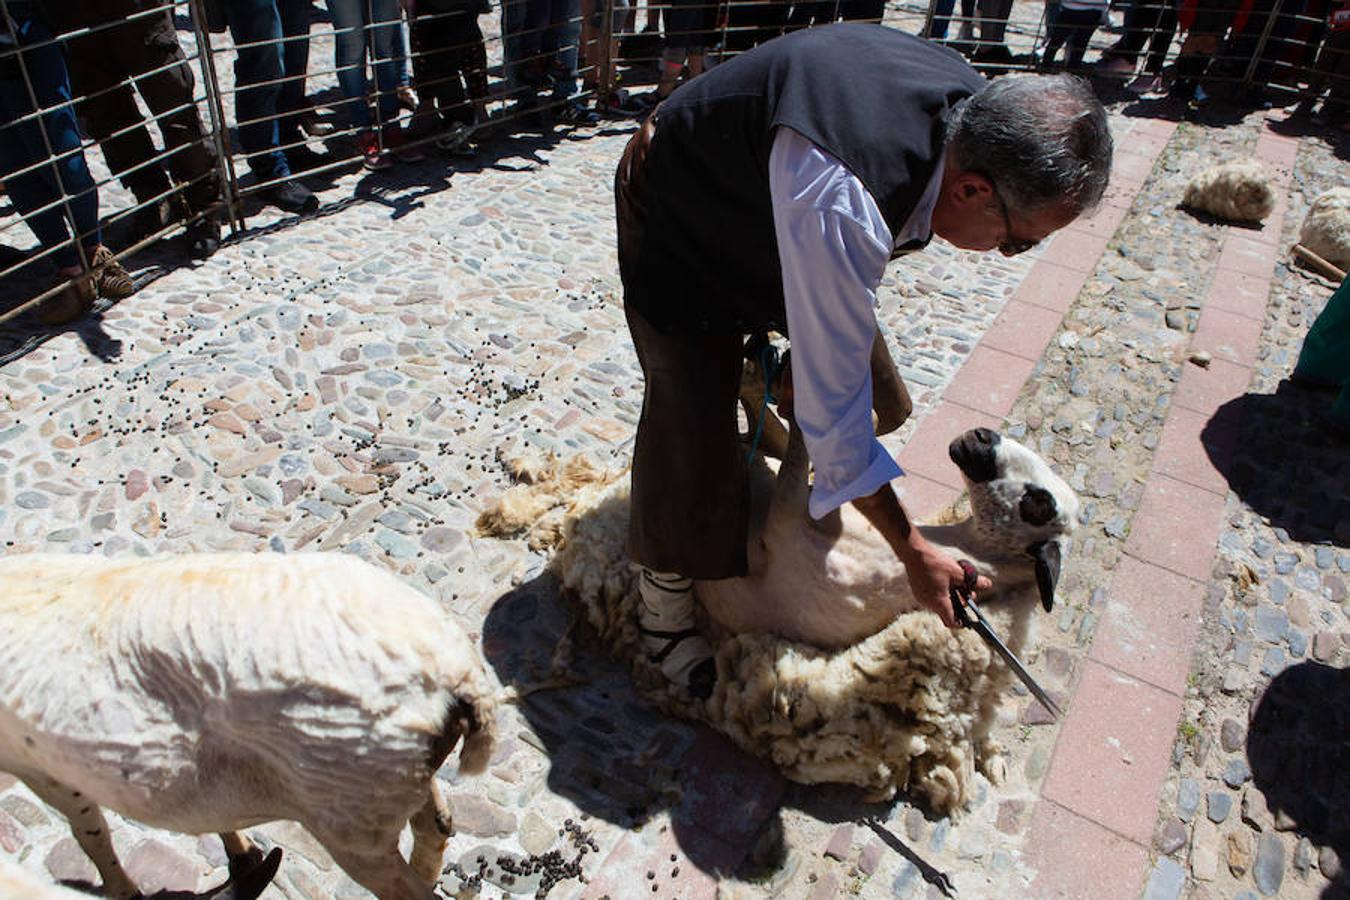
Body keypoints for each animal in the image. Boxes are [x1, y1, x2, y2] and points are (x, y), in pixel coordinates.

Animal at [0, 553, 496, 895]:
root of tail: (455, 673)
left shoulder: (43, 770)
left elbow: (91, 834)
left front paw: (124, 889)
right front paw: (242, 853)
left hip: (352, 820)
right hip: (389, 791)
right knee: (436, 826)